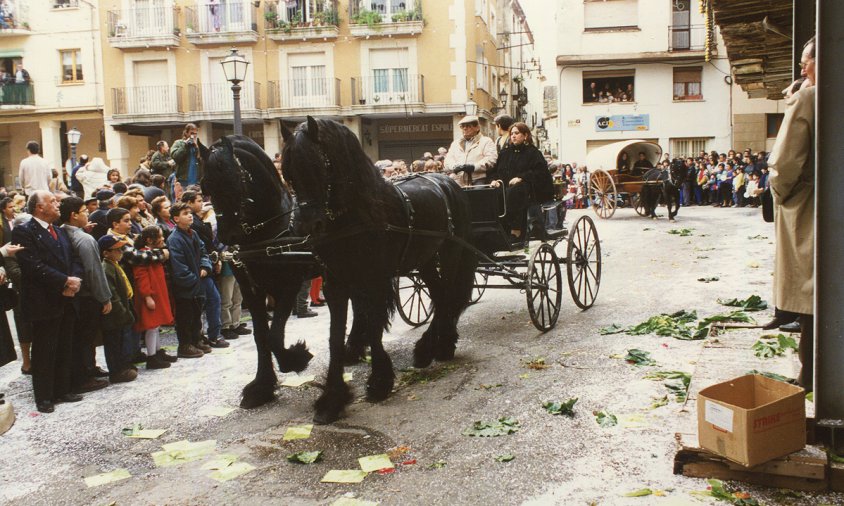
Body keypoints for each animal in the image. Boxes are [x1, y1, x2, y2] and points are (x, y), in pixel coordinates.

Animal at [199, 135, 318, 412]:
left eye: (237, 179)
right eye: (205, 185)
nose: (227, 235)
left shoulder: (288, 286)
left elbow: (274, 336)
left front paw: (295, 358)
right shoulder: (251, 290)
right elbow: (261, 336)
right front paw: (262, 386)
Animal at [282, 117, 478, 422]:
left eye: (317, 165)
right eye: (288, 171)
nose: (303, 226)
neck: (356, 214)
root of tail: (447, 180)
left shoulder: (374, 279)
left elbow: (373, 325)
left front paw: (379, 382)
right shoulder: (336, 283)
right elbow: (335, 336)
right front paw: (332, 398)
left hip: (449, 254)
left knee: (447, 297)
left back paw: (441, 345)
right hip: (424, 260)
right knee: (439, 295)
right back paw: (428, 348)